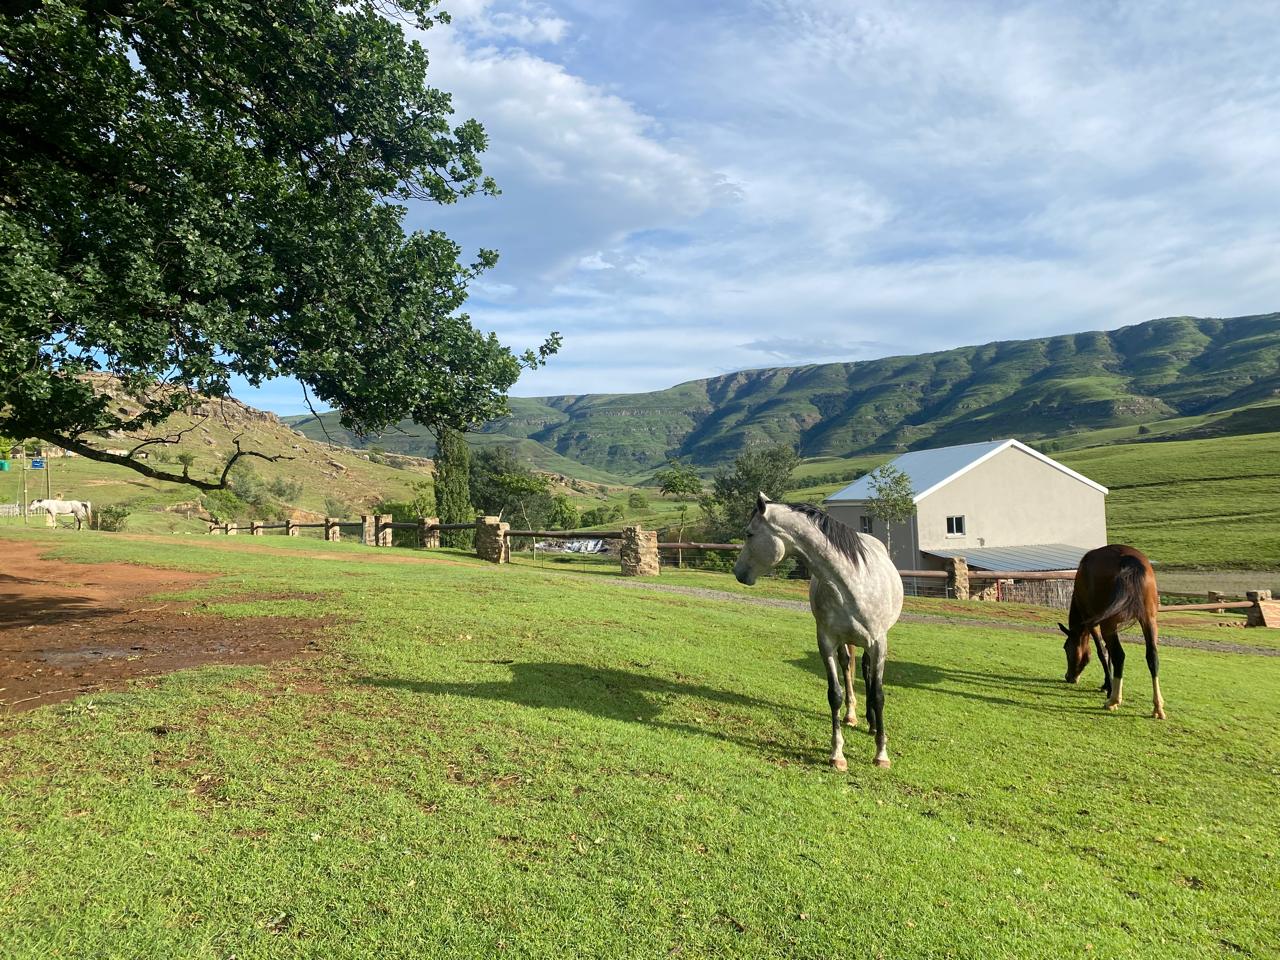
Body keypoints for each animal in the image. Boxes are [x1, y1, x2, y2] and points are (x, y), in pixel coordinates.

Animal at [734, 494, 904, 769]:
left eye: (749, 534)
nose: (737, 572)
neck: (850, 584)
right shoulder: (825, 641)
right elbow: (835, 694)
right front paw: (837, 754)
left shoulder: (879, 642)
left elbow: (879, 695)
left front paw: (881, 754)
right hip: (845, 641)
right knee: (848, 667)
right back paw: (852, 716)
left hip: (871, 643)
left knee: (866, 670)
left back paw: (871, 723)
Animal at [1058, 544, 1165, 719]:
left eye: (1066, 648)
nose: (1069, 677)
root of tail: (1127, 560)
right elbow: (1108, 651)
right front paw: (1106, 684)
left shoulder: (1092, 622)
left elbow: (1102, 652)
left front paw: (1108, 686)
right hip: (1148, 619)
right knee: (1152, 657)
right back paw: (1158, 707)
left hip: (1108, 623)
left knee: (1119, 655)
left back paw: (1113, 700)